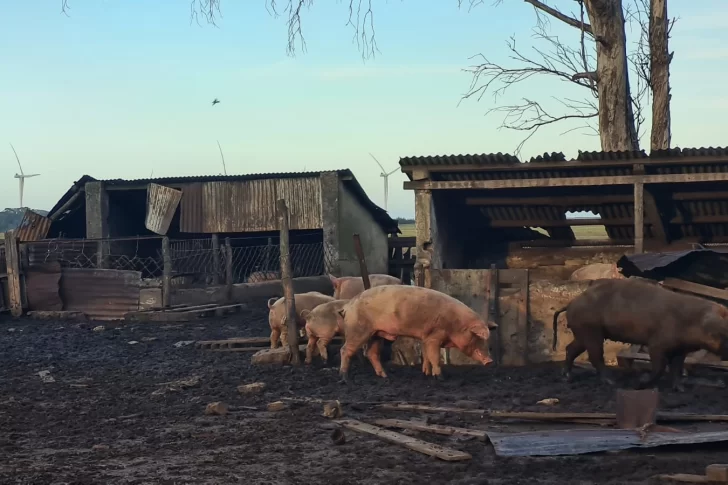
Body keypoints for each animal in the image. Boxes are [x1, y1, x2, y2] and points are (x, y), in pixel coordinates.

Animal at [336, 284, 498, 382]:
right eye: (477, 336)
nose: (490, 361)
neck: (456, 324)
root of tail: (347, 306)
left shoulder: (425, 338)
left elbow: (426, 356)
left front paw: (426, 373)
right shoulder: (434, 337)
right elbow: (434, 357)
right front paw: (440, 378)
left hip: (376, 333)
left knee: (371, 353)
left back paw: (385, 377)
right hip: (358, 330)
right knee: (345, 350)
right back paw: (344, 378)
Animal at [556, 274, 728, 392]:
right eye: (725, 333)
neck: (692, 321)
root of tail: (571, 303)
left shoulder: (680, 349)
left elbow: (676, 368)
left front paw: (680, 389)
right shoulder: (657, 344)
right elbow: (660, 366)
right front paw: (639, 383)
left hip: (582, 332)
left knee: (571, 349)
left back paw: (567, 378)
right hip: (591, 331)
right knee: (595, 356)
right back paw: (611, 382)